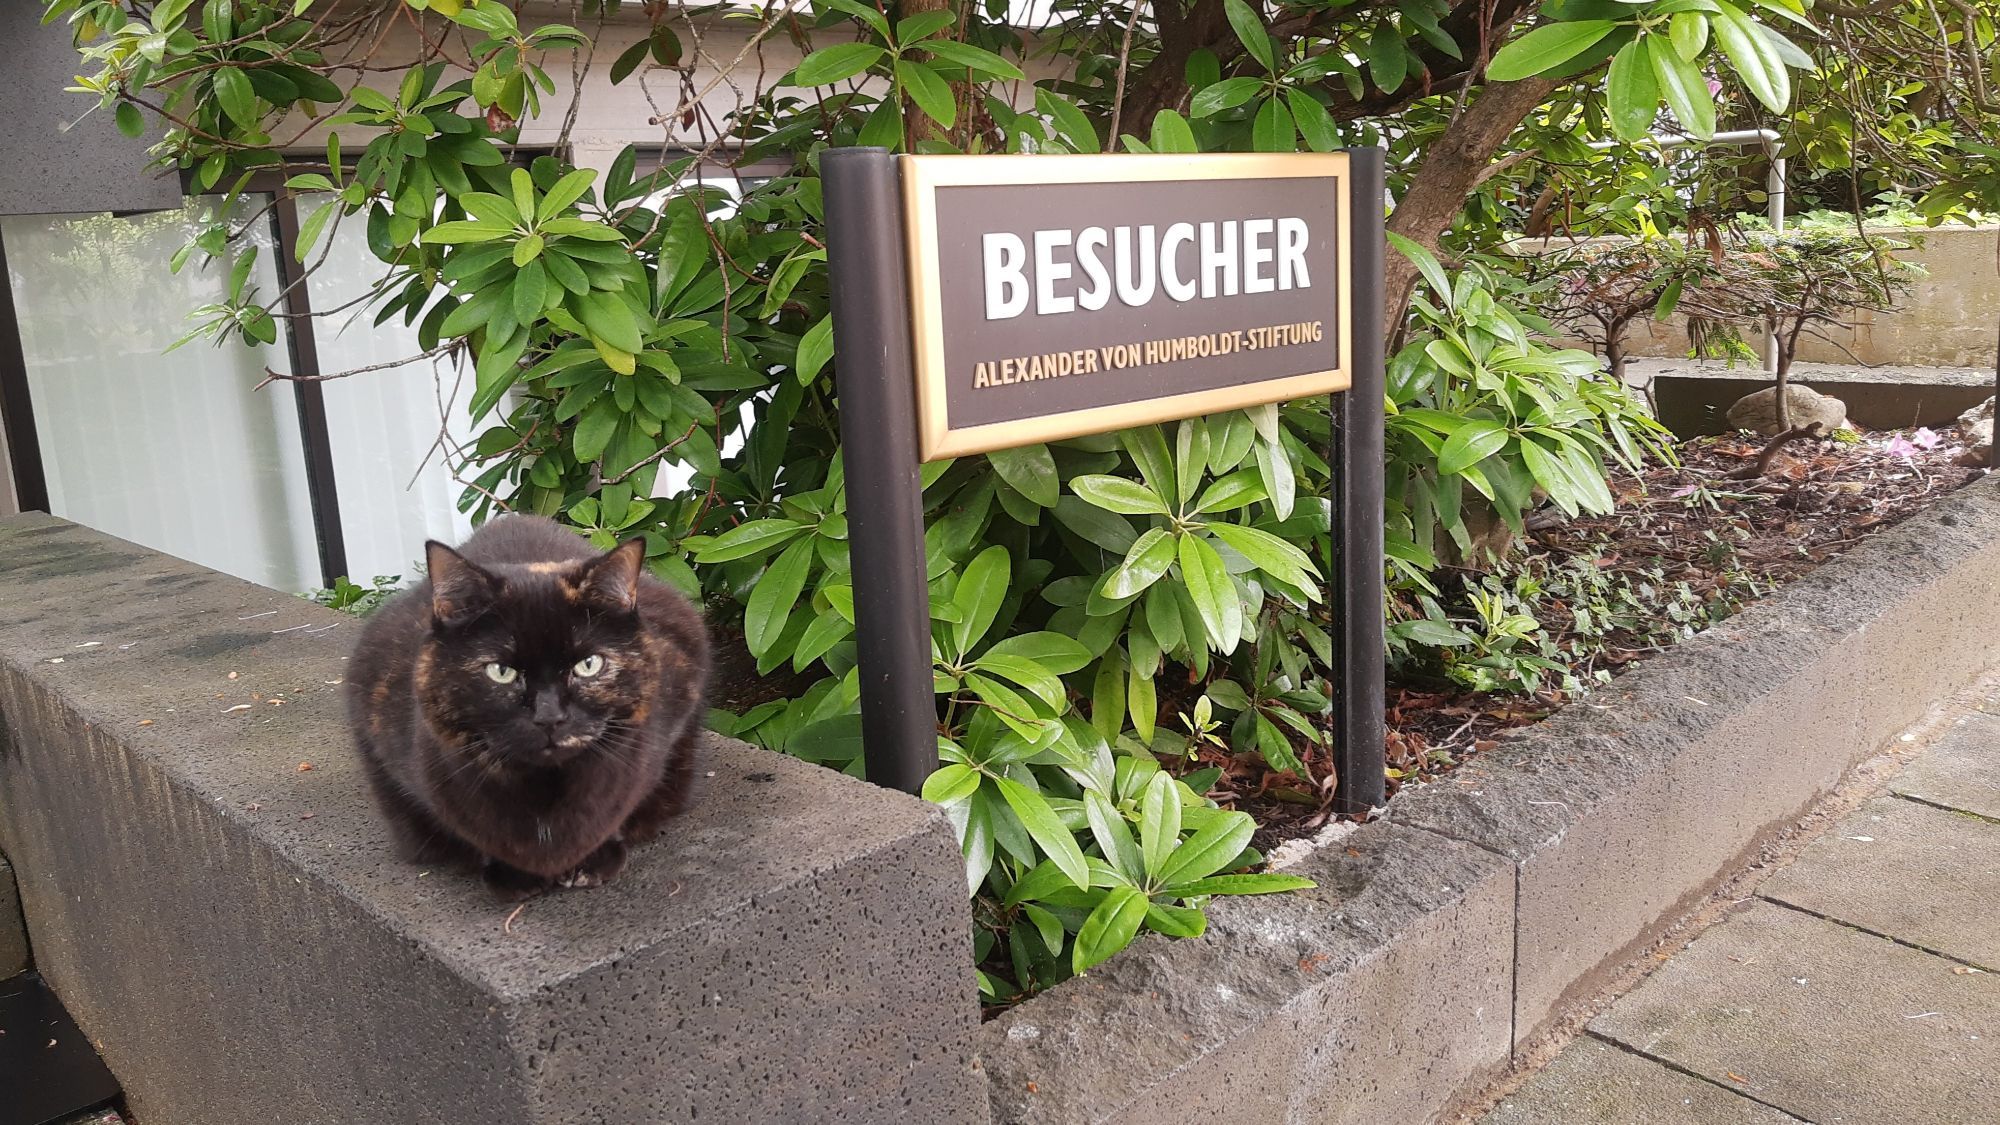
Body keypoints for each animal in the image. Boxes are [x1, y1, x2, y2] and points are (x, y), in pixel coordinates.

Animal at [346, 512, 712, 896]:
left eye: (588, 664)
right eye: (501, 671)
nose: (549, 717)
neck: (547, 792)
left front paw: (595, 860)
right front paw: (511, 873)